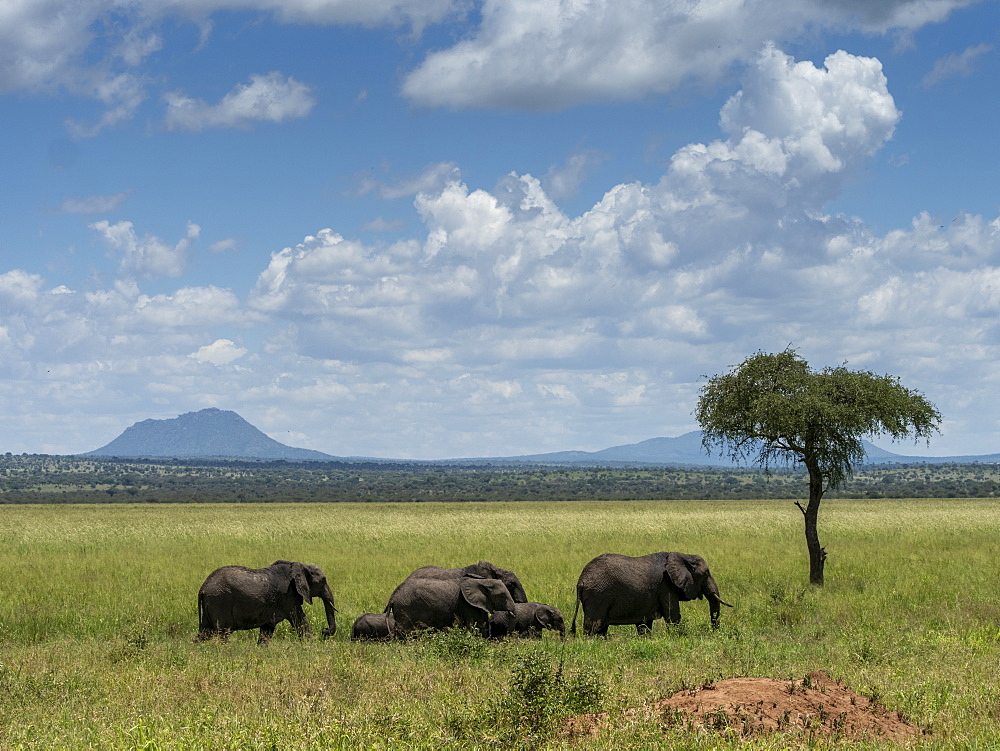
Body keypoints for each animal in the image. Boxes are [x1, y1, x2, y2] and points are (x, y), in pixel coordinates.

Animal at [197, 560, 338, 644]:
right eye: (323, 580)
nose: (324, 630)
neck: (300, 565)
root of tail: (203, 588)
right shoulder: (288, 596)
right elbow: (301, 621)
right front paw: (309, 646)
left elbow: (267, 629)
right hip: (220, 602)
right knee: (223, 632)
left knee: (204, 632)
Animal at [386, 580, 516, 636]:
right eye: (502, 595)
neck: (482, 581)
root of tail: (393, 596)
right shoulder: (467, 604)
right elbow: (478, 626)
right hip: (406, 607)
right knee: (405, 630)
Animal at [572, 548, 736, 636]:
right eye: (706, 574)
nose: (715, 632)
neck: (683, 555)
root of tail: (581, 580)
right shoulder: (666, 585)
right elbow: (673, 615)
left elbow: (644, 623)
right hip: (598, 596)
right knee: (594, 627)